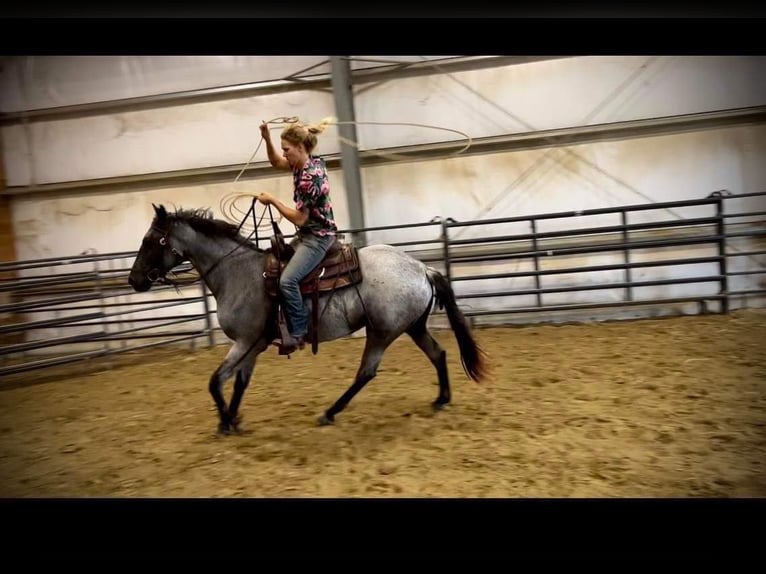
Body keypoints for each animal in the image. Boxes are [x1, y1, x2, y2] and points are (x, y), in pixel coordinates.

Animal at [129, 205, 488, 434]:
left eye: (150, 240)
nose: (134, 280)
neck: (237, 273)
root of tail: (422, 268)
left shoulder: (244, 342)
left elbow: (216, 381)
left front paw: (225, 423)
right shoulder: (252, 346)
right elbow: (239, 382)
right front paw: (233, 418)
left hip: (381, 332)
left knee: (366, 372)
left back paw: (329, 412)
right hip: (412, 327)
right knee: (438, 353)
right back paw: (441, 399)